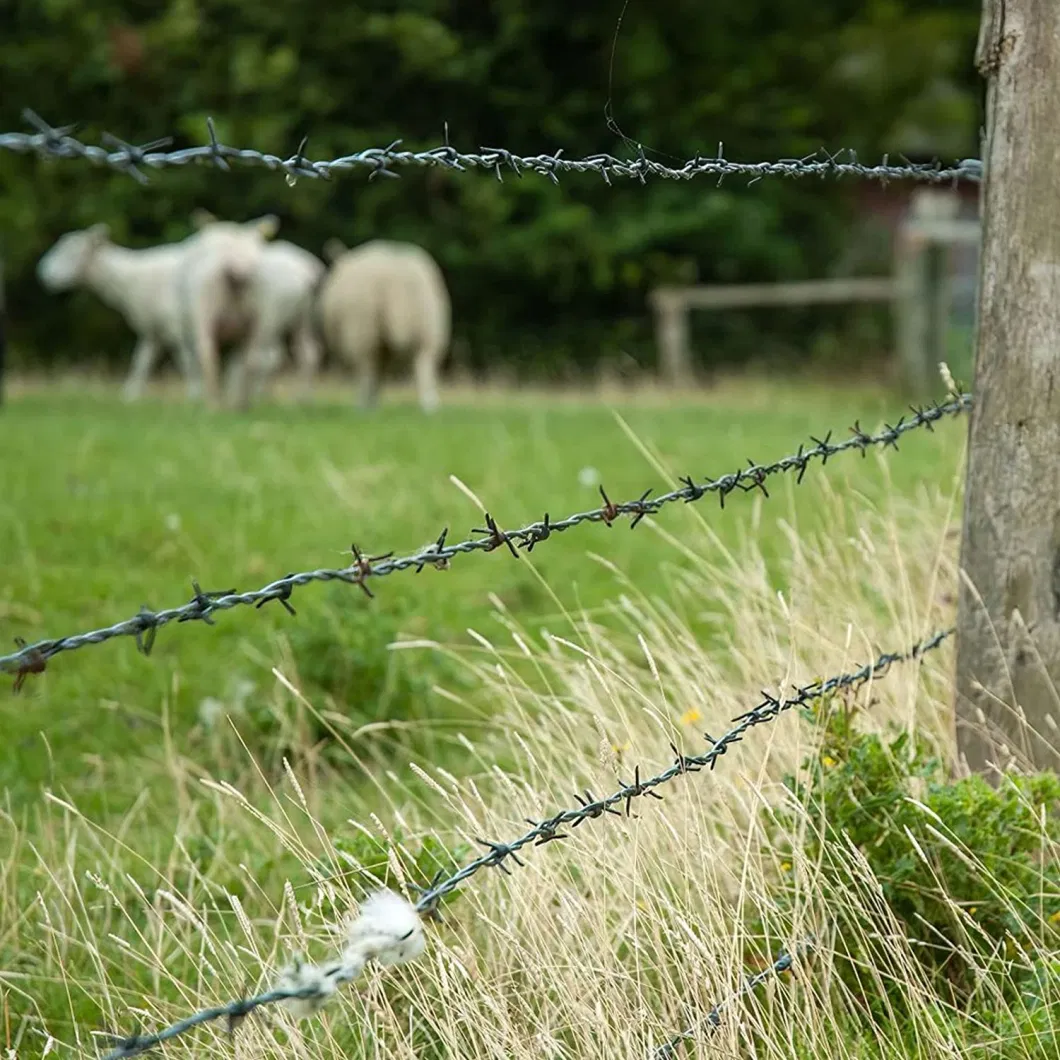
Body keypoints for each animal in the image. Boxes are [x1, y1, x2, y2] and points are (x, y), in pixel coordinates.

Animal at [311, 238, 449, 411]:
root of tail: (396, 280)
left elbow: (374, 373)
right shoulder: (385, 348)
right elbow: (381, 373)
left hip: (363, 329)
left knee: (367, 369)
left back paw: (362, 405)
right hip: (429, 327)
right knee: (424, 365)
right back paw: (429, 405)